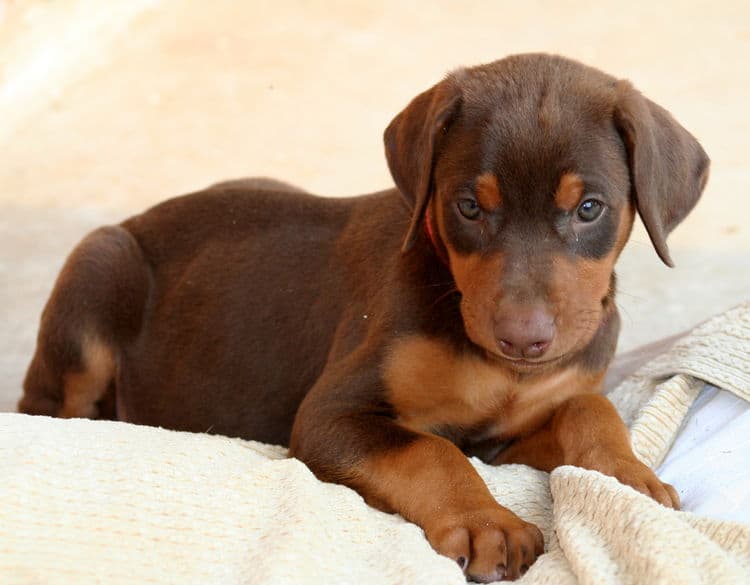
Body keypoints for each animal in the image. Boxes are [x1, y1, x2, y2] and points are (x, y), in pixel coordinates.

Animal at [19, 53, 712, 580]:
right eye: (468, 206)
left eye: (590, 207)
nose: (524, 340)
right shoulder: (334, 415)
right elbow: (431, 450)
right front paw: (486, 522)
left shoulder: (506, 434)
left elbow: (586, 405)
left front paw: (627, 474)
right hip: (97, 268)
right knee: (48, 407)